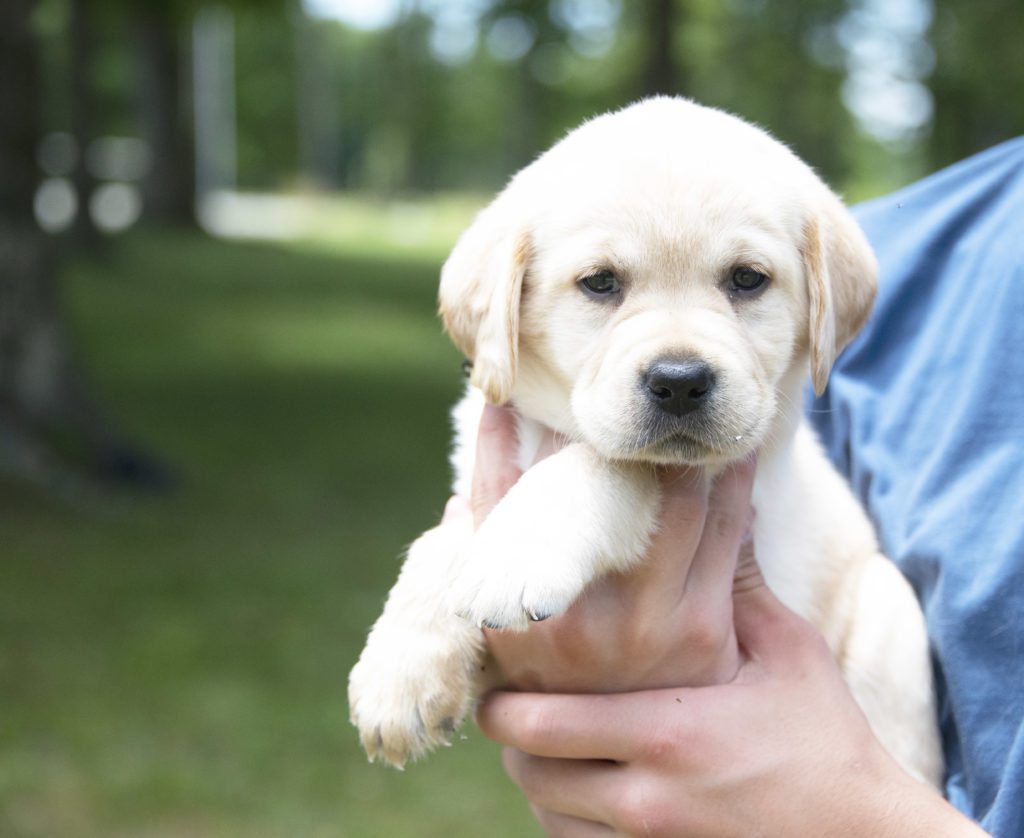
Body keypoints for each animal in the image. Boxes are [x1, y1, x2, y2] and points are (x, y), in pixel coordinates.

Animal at [350, 97, 942, 782]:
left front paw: (516, 552)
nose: (680, 382)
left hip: (887, 611)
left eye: (747, 279)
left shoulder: (729, 465)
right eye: (600, 282)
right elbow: (442, 538)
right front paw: (402, 670)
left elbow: (605, 464)